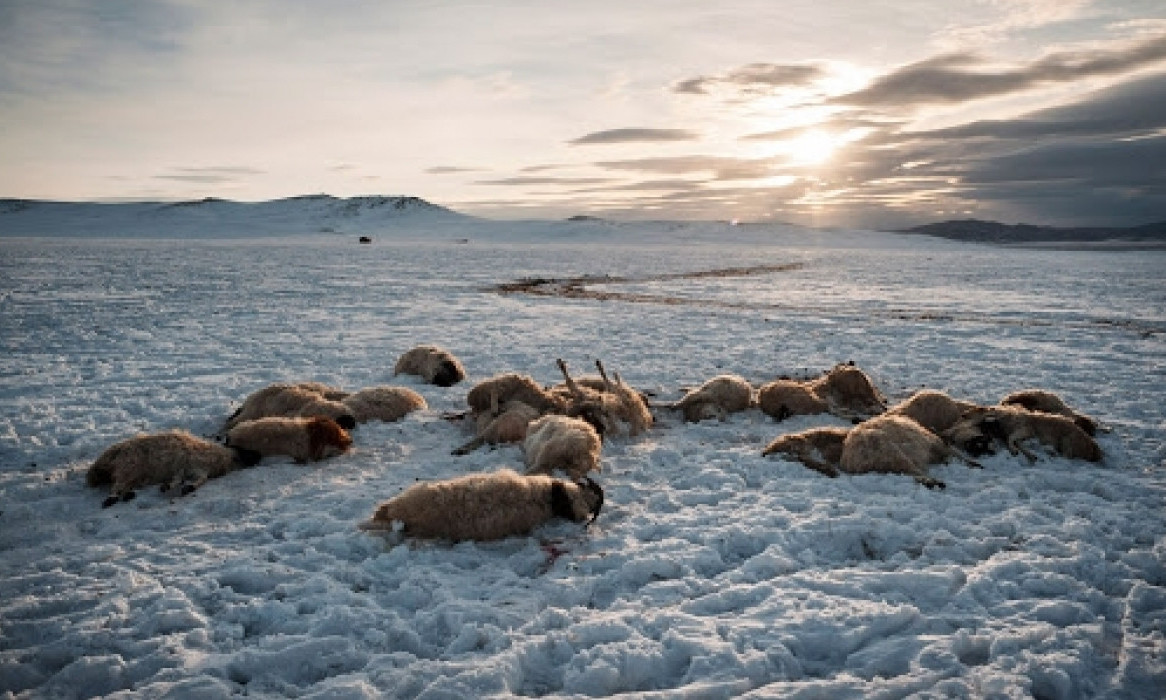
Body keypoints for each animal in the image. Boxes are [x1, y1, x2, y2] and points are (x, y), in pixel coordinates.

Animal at [86, 429, 262, 506]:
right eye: (244, 449)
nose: (258, 456)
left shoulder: (193, 468)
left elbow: (192, 479)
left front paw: (181, 487)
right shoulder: (190, 464)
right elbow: (188, 478)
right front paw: (178, 487)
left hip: (134, 472)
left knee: (124, 485)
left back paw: (128, 495)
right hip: (129, 465)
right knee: (117, 485)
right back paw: (112, 498)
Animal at [937, 403, 1100, 464]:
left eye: (974, 411)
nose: (963, 414)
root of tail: (1094, 449)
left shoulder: (1024, 429)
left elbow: (1012, 439)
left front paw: (1017, 451)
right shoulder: (1023, 433)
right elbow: (1017, 442)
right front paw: (1028, 454)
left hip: (1067, 441)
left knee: (1067, 455)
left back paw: (1052, 453)